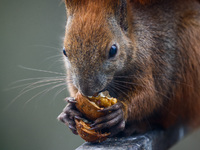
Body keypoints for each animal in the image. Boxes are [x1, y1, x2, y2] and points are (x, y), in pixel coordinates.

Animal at [57, 0, 200, 138]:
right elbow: (74, 89)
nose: (86, 90)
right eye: (64, 51)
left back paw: (137, 126)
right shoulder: (71, 76)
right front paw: (69, 111)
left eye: (113, 50)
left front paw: (121, 111)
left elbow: (149, 95)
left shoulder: (146, 62)